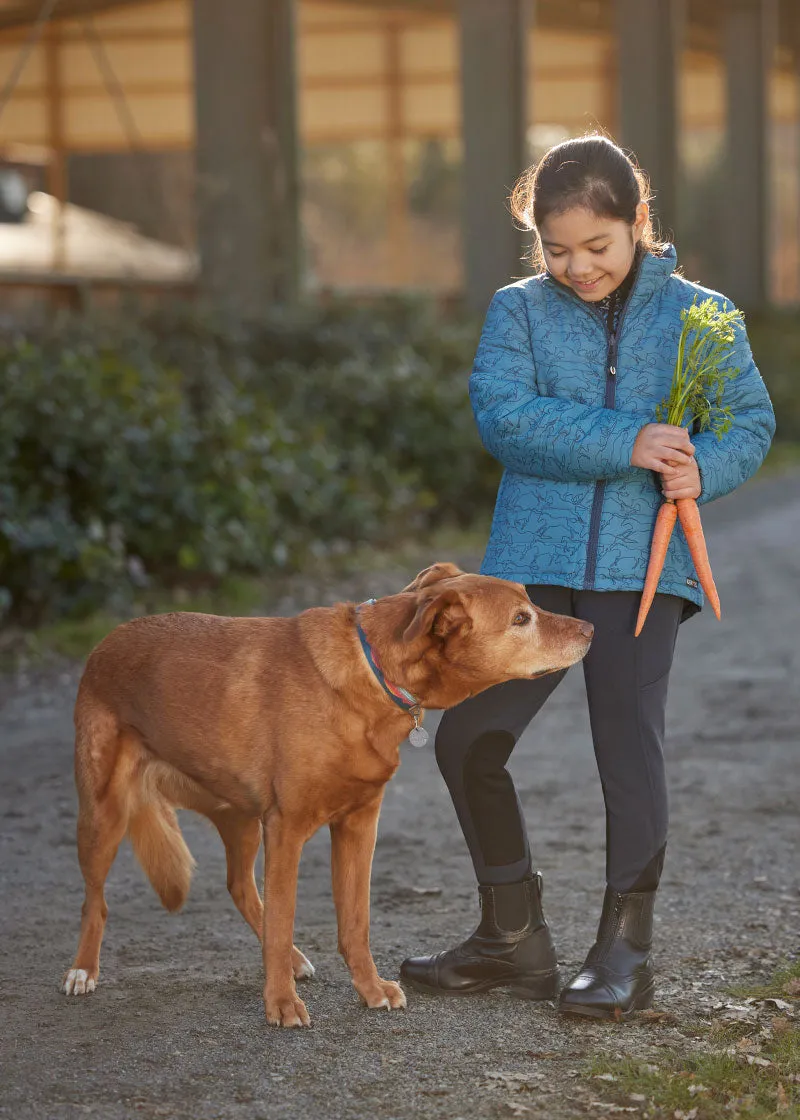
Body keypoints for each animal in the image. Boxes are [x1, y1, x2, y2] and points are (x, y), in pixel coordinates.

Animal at [60, 564, 587, 1025]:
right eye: (521, 619)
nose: (590, 627)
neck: (373, 673)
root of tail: (106, 642)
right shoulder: (286, 828)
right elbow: (283, 919)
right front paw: (280, 1004)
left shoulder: (358, 823)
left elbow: (355, 923)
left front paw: (370, 990)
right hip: (103, 812)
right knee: (94, 901)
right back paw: (83, 970)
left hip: (240, 817)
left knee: (239, 886)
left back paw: (291, 960)